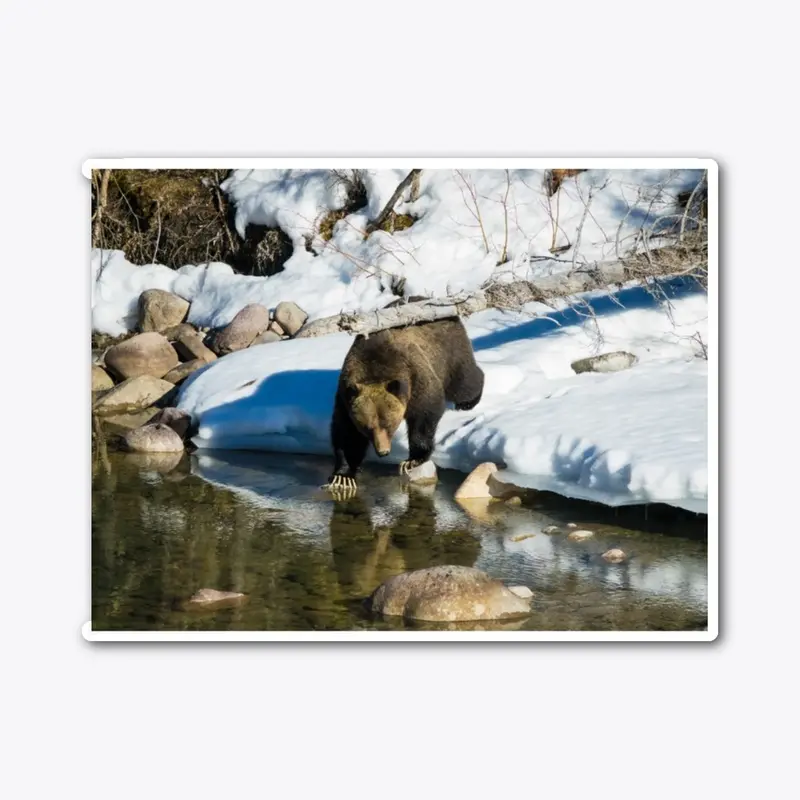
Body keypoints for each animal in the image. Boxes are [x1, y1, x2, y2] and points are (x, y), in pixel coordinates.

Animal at [324, 316, 484, 490]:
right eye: (367, 428)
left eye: (389, 424)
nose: (383, 451)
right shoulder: (345, 399)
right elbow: (346, 434)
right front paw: (343, 476)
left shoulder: (417, 380)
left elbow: (424, 417)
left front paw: (412, 460)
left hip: (449, 352)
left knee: (464, 383)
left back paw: (468, 401)